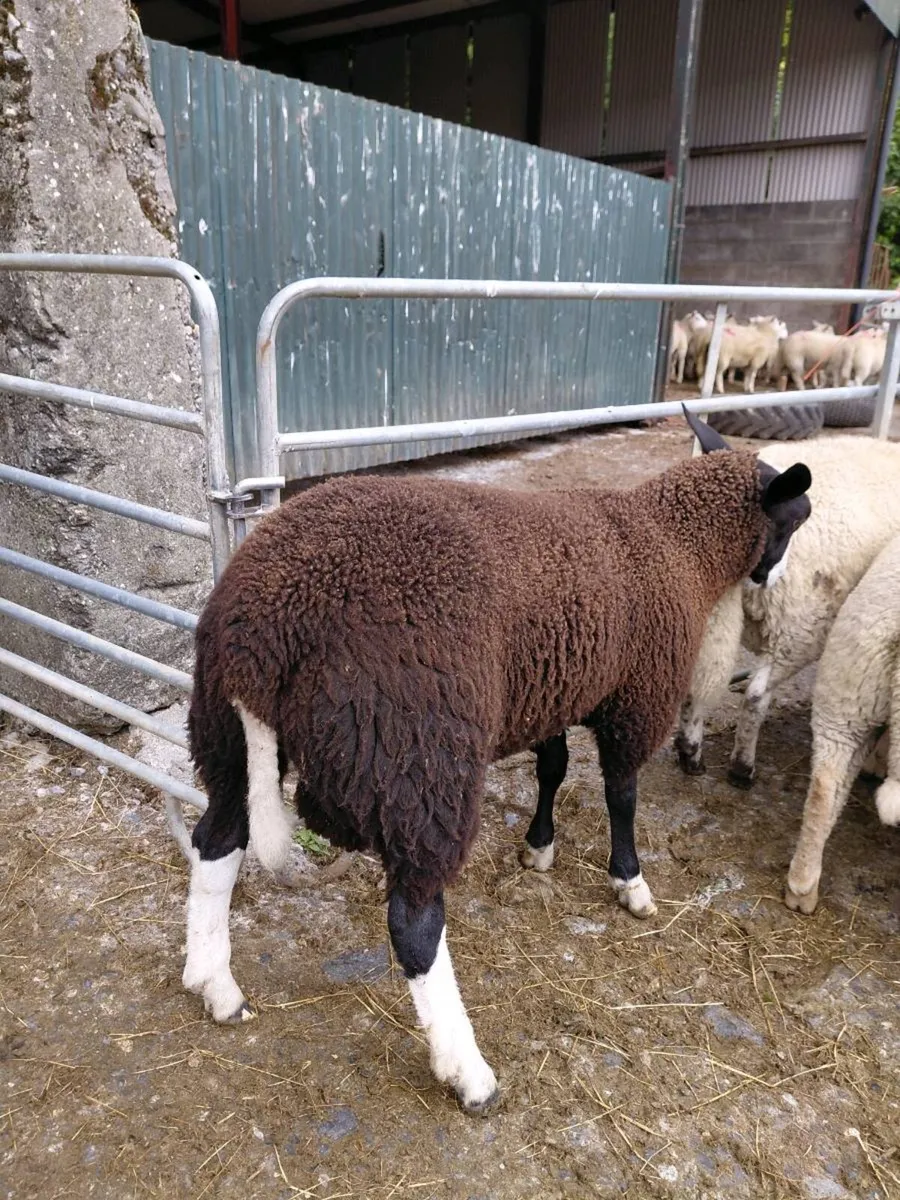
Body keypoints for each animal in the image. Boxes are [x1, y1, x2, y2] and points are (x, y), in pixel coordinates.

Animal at [175, 409, 811, 1114]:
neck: (675, 541)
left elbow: (552, 768)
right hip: (419, 755)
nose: (774, 581)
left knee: (216, 840)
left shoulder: (555, 686)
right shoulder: (636, 697)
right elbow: (622, 794)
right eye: (794, 519)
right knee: (414, 923)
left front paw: (539, 847)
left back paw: (214, 985)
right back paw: (468, 1072)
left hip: (224, 733)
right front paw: (631, 883)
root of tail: (261, 631)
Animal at [674, 436, 900, 787]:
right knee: (755, 695)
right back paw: (742, 768)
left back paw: (691, 753)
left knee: (700, 679)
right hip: (799, 627)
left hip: (715, 613)